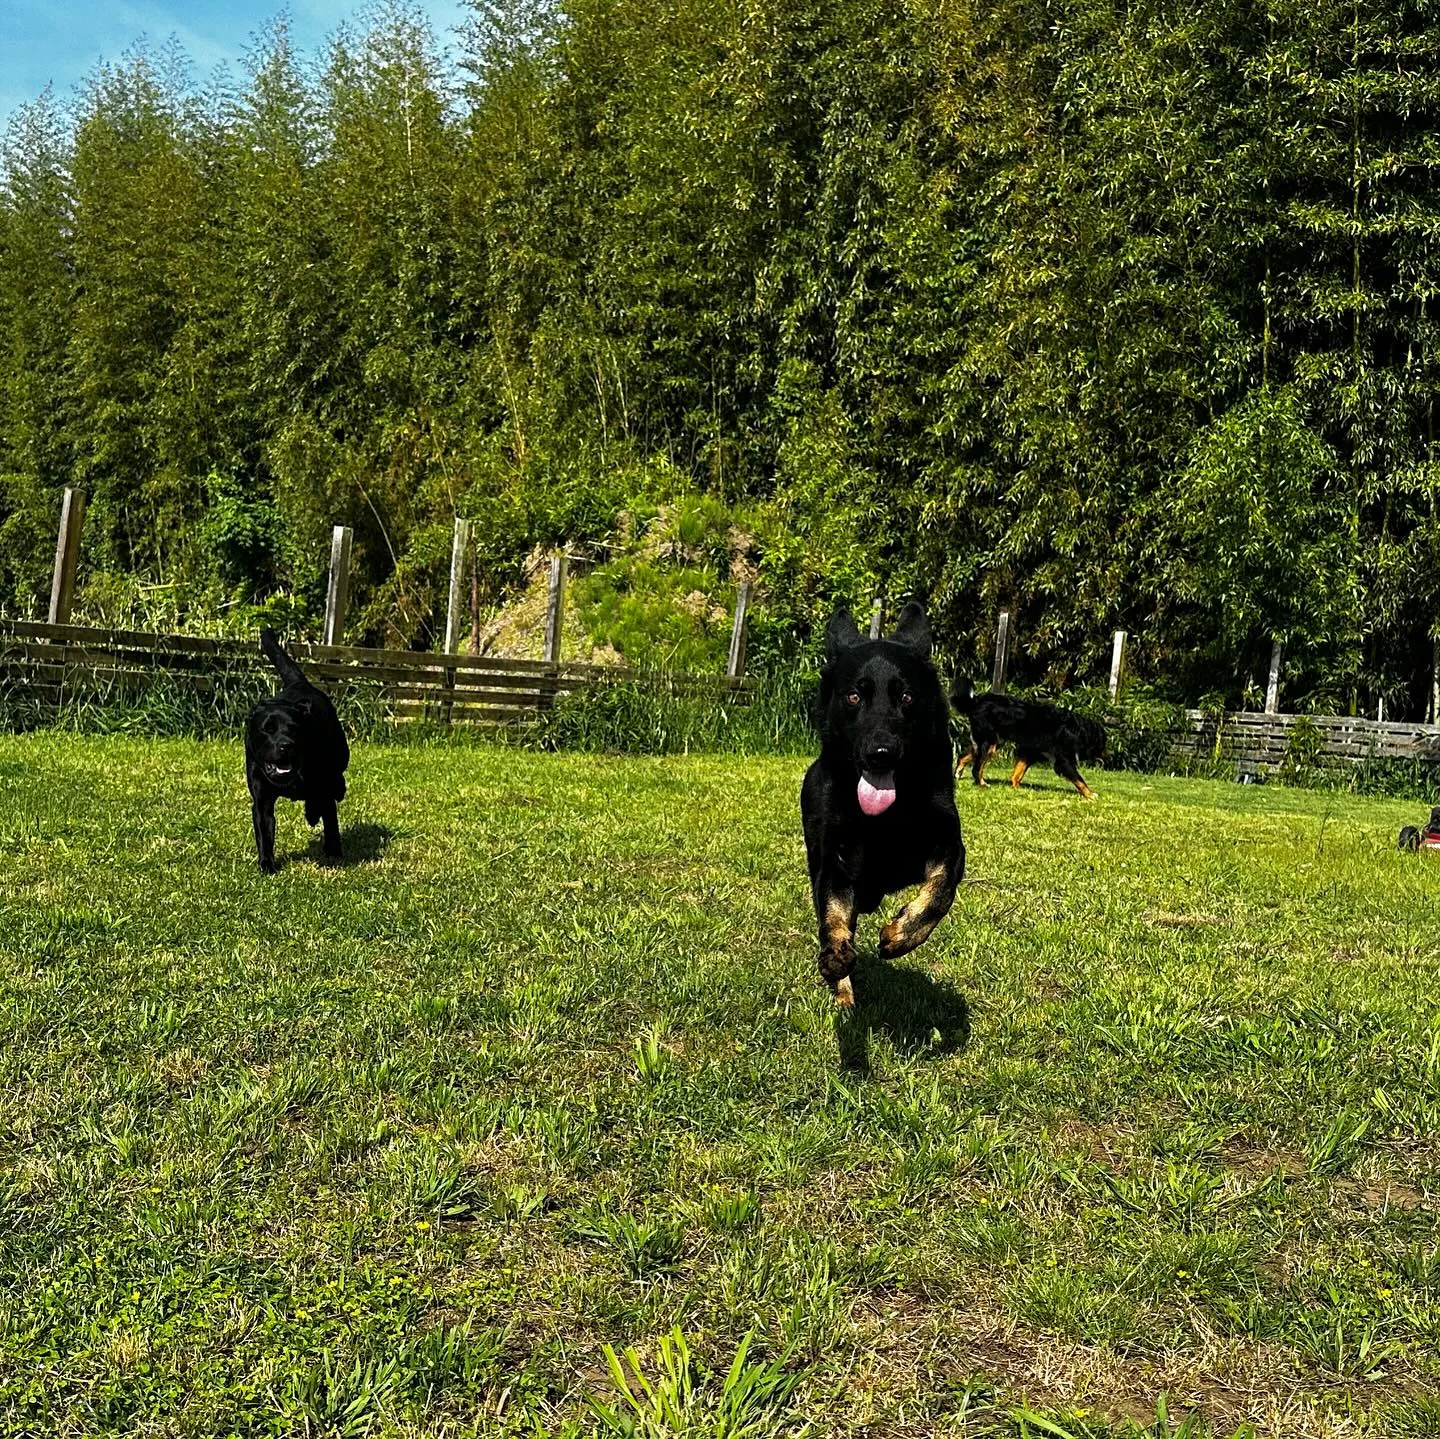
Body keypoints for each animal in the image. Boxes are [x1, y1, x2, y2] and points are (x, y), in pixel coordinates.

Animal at [244, 628, 348, 870]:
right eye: (268, 729)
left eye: (295, 729)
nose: (286, 745)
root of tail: (300, 683)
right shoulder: (261, 802)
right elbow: (264, 833)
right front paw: (267, 864)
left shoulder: (324, 787)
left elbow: (330, 819)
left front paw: (333, 851)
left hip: (340, 755)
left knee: (338, 782)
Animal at [800, 607, 967, 1014]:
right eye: (854, 696)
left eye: (906, 696)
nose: (881, 753)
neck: (883, 821)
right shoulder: (834, 861)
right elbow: (832, 915)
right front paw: (836, 955)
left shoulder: (949, 844)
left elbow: (940, 893)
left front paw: (900, 935)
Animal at [950, 674, 1105, 800]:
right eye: (1103, 744)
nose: (1106, 755)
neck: (1074, 729)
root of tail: (975, 701)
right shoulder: (1062, 760)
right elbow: (1079, 779)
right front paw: (1090, 794)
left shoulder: (1030, 752)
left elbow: (1017, 773)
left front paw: (1017, 788)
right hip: (990, 744)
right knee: (976, 768)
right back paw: (982, 784)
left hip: (993, 741)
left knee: (963, 757)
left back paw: (957, 774)